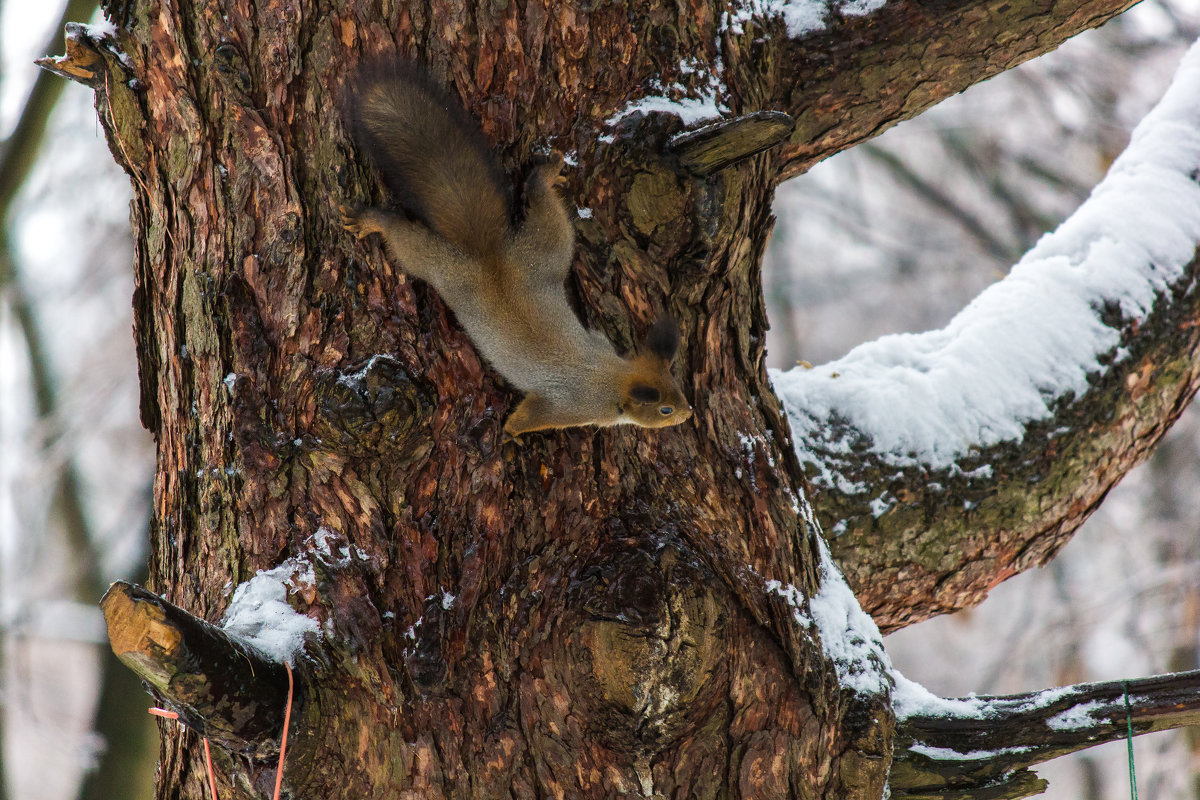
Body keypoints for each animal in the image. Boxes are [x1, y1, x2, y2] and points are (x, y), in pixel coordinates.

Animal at [340, 64, 696, 438]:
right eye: (665, 409)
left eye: (677, 387)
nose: (688, 413)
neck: (612, 378)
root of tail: (490, 256)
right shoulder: (566, 407)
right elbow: (525, 420)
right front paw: (511, 435)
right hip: (441, 266)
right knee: (405, 240)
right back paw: (373, 221)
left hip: (546, 248)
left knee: (541, 203)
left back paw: (546, 175)